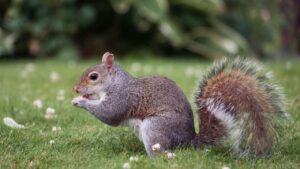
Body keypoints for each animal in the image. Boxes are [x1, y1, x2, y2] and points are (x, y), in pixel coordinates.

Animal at [71, 51, 284, 157]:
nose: (75, 89)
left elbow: (109, 114)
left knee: (160, 151)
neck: (116, 83)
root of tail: (189, 140)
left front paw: (80, 101)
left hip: (156, 127)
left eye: (93, 76)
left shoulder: (122, 98)